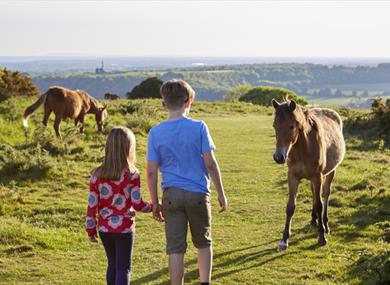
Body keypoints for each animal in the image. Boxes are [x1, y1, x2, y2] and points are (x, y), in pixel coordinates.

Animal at [272, 98, 344, 250]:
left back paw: (325, 224)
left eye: (291, 126)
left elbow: (319, 205)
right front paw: (284, 239)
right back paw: (313, 220)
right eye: (274, 126)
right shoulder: (293, 176)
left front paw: (321, 237)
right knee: (314, 195)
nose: (278, 157)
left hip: (330, 173)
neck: (303, 148)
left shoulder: (318, 177)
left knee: (325, 195)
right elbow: (290, 207)